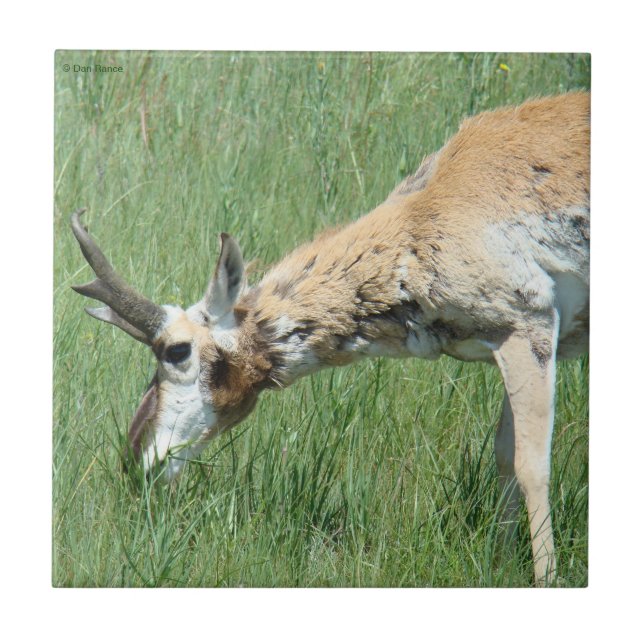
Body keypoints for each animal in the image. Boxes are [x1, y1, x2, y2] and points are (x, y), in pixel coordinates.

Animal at [71, 92, 589, 586]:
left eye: (176, 350)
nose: (134, 462)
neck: (428, 213)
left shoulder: (529, 329)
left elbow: (532, 465)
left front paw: (547, 579)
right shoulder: (505, 343)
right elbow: (504, 456)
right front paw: (500, 562)